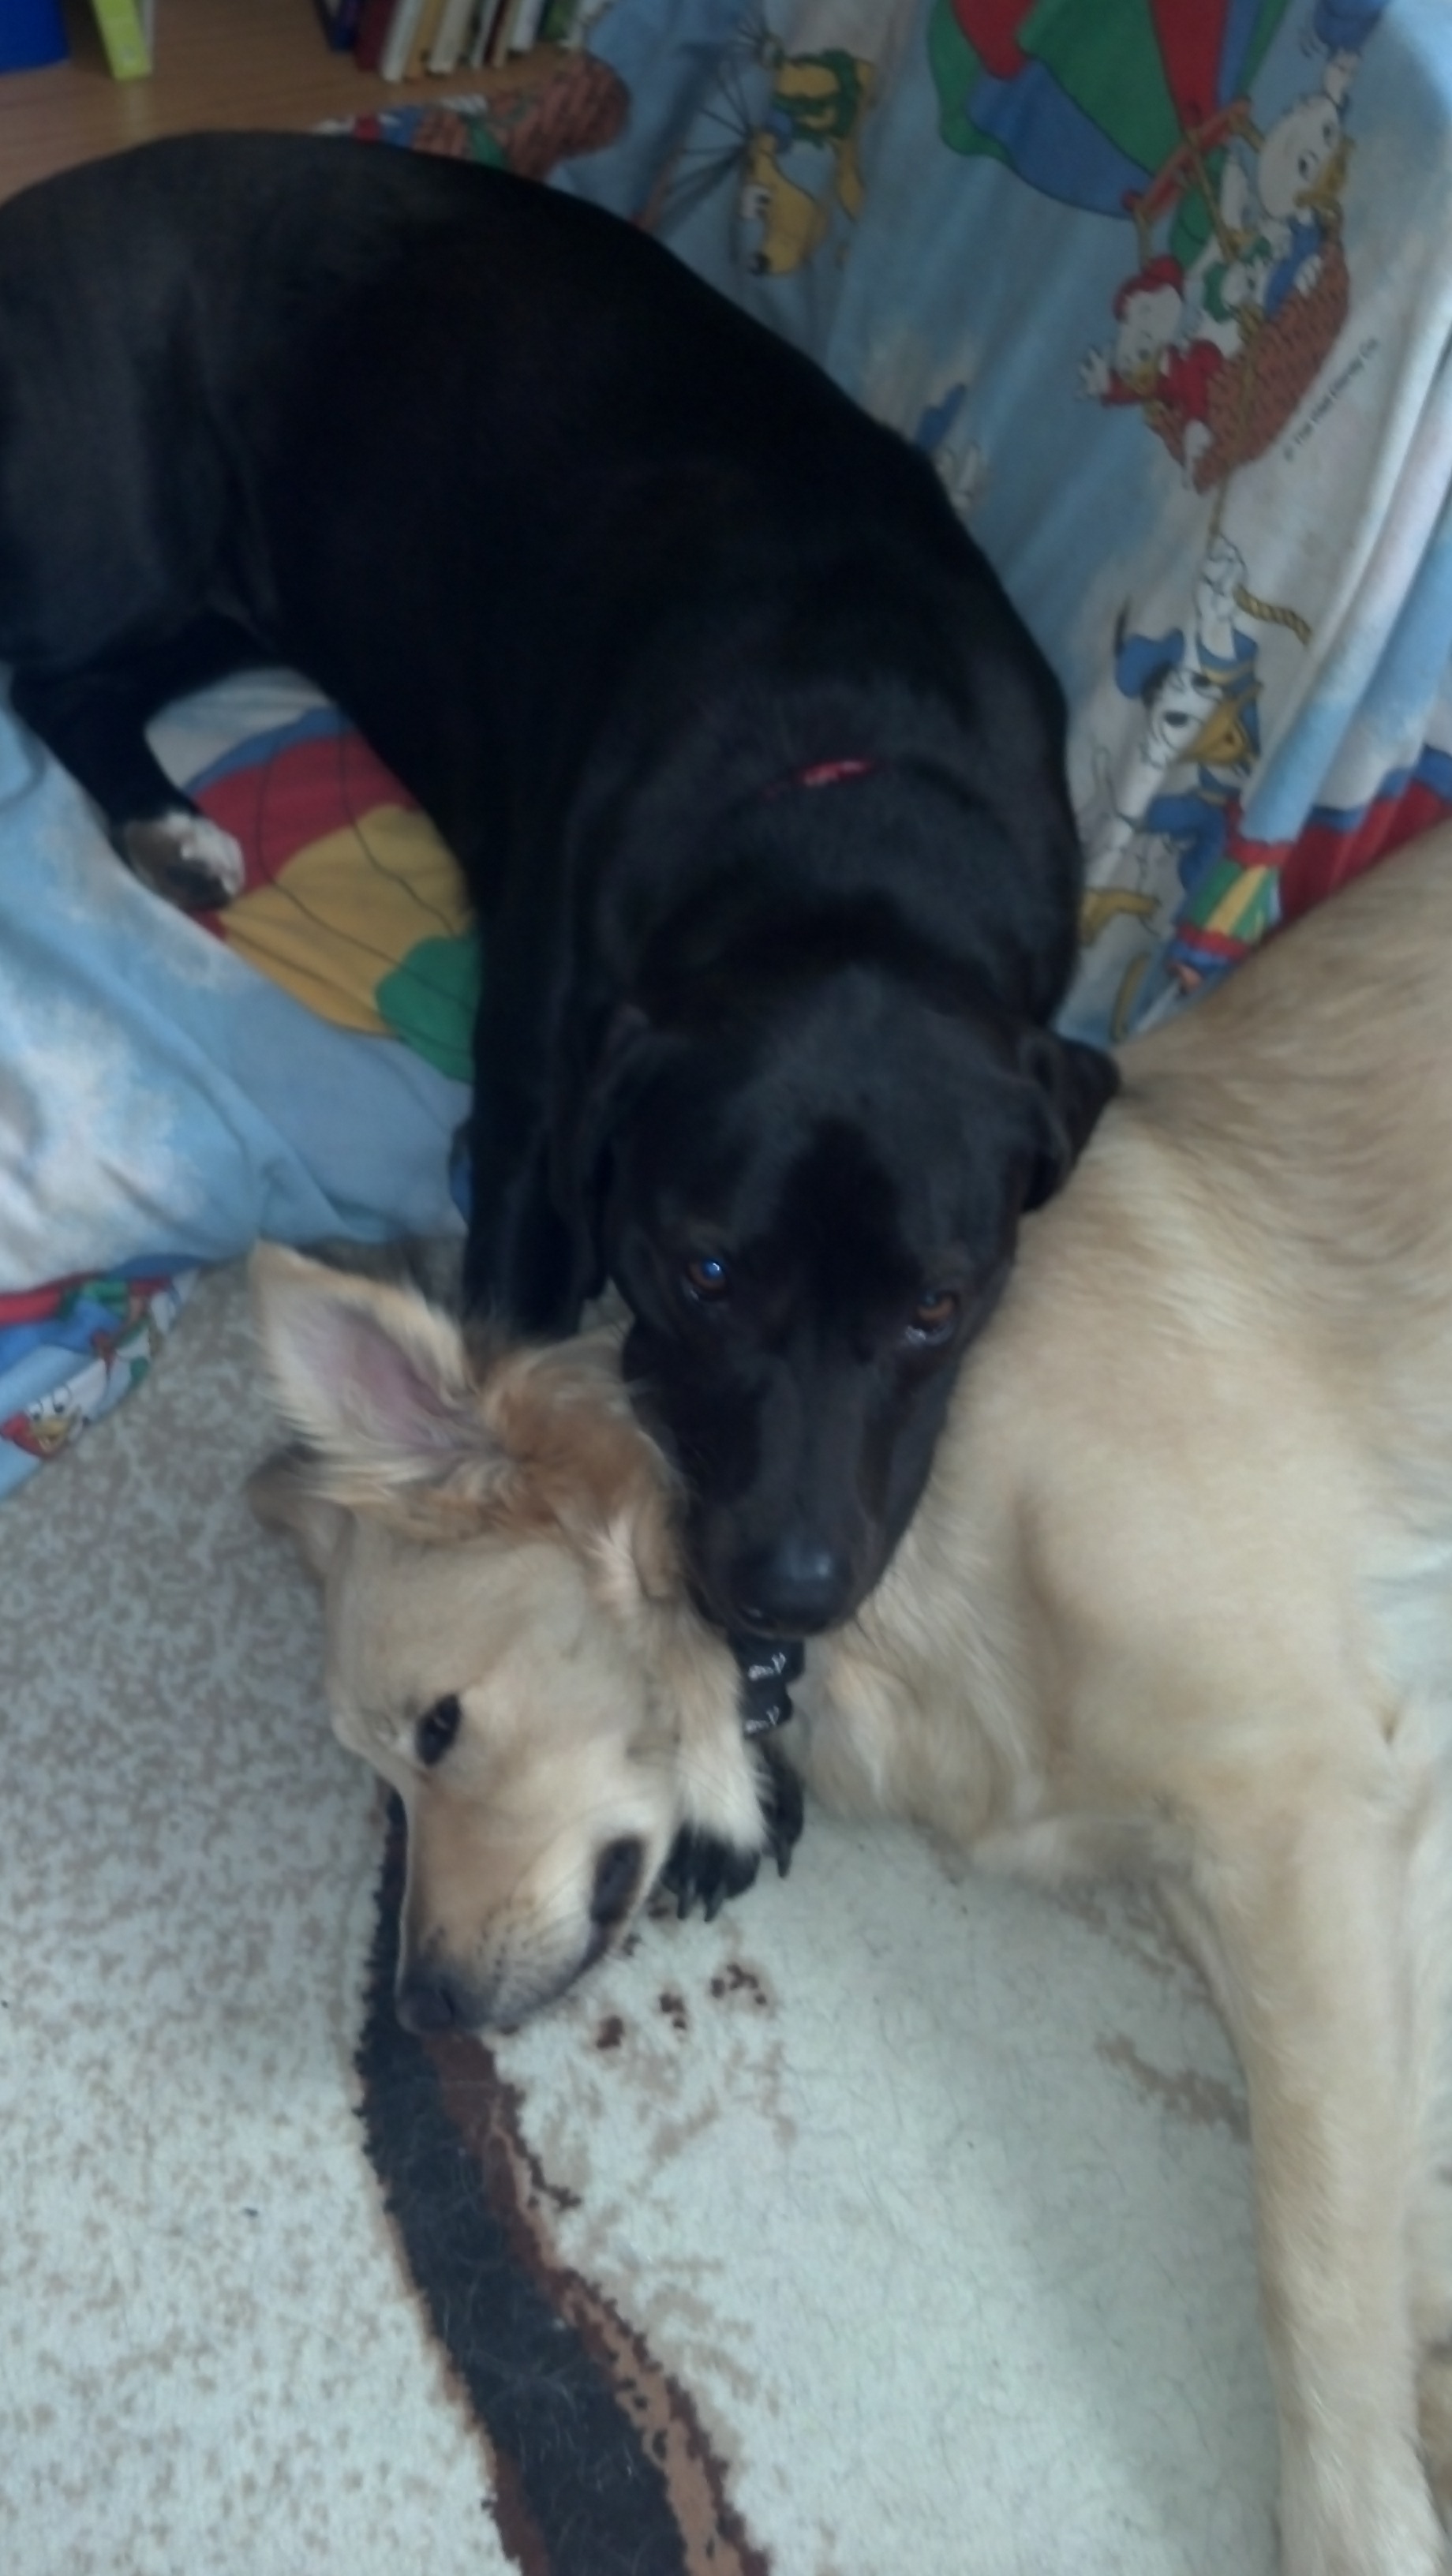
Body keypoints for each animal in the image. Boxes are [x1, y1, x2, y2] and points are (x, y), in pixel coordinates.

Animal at [0, 130, 1112, 1640]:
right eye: (706, 1271)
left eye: (941, 1303)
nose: (786, 1595)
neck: (845, 831)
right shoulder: (534, 1121)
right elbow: (514, 1356)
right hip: (119, 536)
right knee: (52, 672)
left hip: (241, 584)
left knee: (91, 687)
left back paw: (172, 827)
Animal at [252, 818, 1452, 2574]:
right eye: (388, 1778)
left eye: (435, 1732)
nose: (419, 2012)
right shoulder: (1334, 1847)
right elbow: (1395, 2205)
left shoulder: (1295, 1811)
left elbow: (1310, 2260)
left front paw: (1364, 2514)